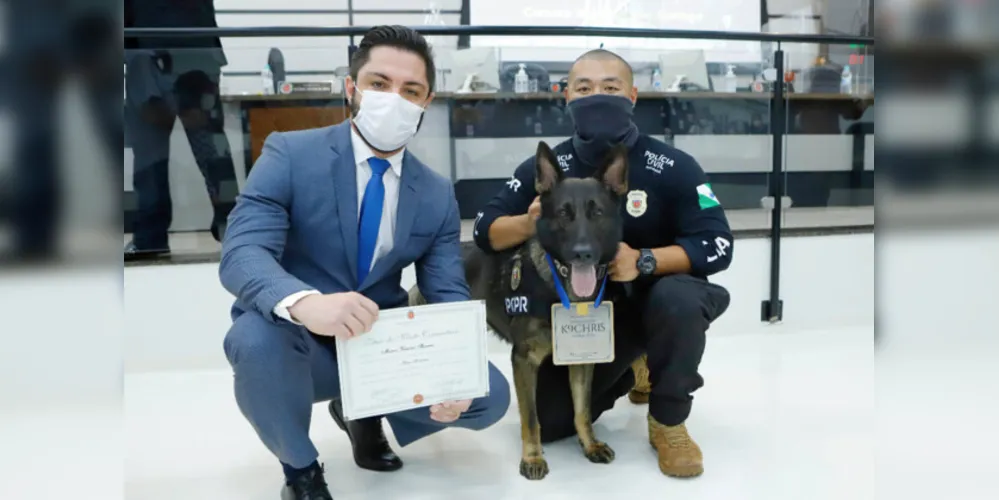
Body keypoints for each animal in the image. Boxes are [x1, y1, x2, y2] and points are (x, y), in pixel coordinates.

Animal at [406, 141, 624, 480]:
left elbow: (582, 410)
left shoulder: (581, 360)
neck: (559, 288)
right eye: (563, 214)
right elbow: (531, 418)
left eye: (597, 213)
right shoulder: (523, 360)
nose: (583, 253)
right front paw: (533, 458)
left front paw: (589, 444)